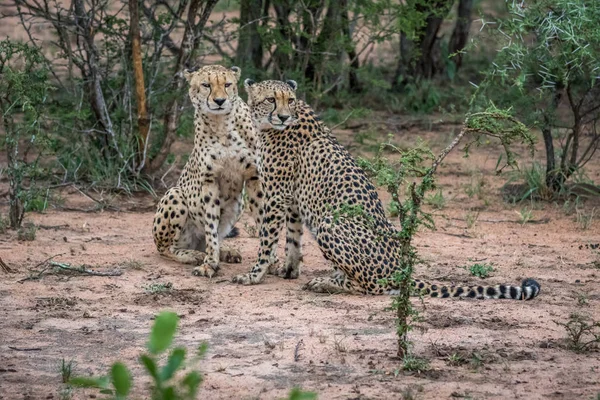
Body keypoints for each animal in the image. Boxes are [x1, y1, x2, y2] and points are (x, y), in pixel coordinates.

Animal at [151, 65, 262, 278]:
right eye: (206, 85)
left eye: (227, 84)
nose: (219, 101)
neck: (221, 124)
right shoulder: (210, 180)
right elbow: (211, 226)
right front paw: (209, 264)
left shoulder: (254, 176)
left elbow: (264, 222)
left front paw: (273, 262)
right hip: (174, 194)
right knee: (167, 248)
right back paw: (192, 254)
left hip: (238, 204)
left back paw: (225, 251)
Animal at [232, 79, 540, 300]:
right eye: (271, 99)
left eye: (290, 100)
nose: (284, 117)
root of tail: (398, 269)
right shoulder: (292, 200)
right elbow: (293, 240)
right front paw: (289, 270)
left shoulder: (276, 195)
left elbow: (267, 239)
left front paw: (254, 275)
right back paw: (332, 278)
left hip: (331, 223)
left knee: (371, 286)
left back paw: (327, 283)